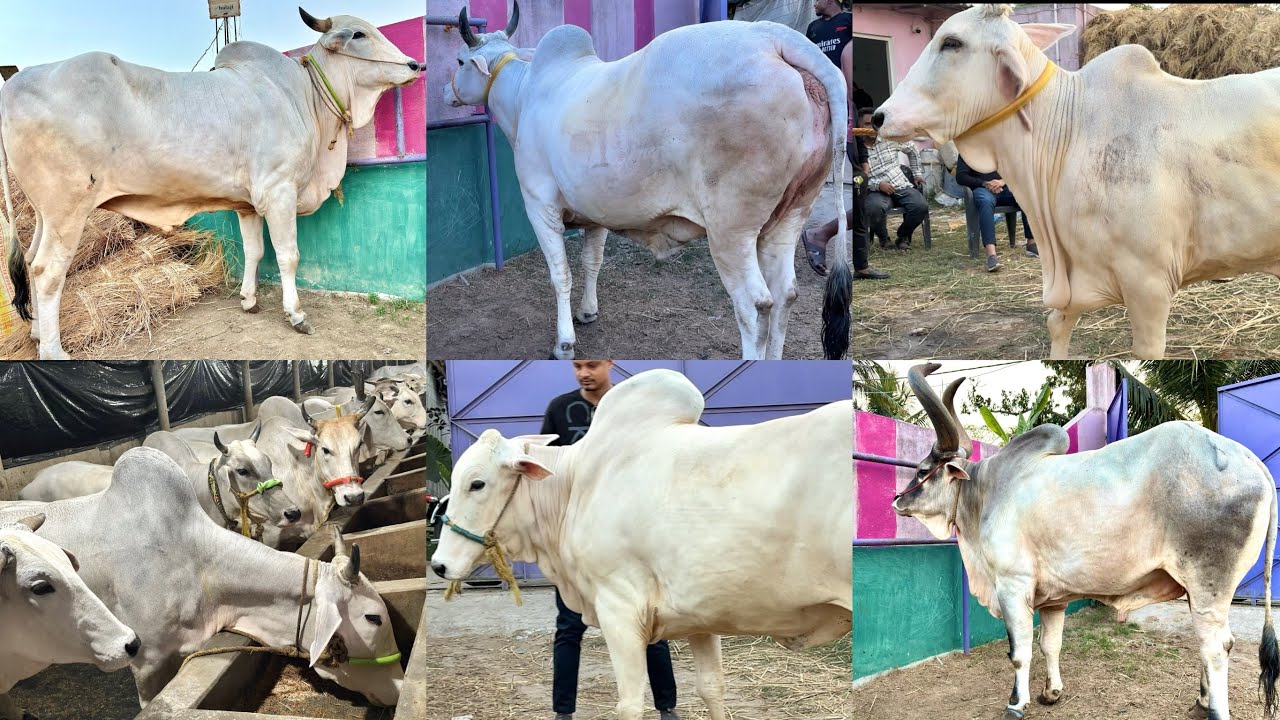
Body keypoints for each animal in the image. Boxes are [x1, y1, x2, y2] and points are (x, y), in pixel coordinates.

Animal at [0, 9, 423, 359]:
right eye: (358, 34)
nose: (414, 64)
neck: (303, 96)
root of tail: (13, 84)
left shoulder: (248, 204)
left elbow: (255, 251)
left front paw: (249, 300)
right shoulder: (279, 191)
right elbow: (288, 255)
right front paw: (296, 314)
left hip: (44, 213)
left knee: (31, 262)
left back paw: (37, 334)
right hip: (67, 209)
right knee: (47, 272)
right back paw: (54, 351)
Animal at [429, 369, 852, 720]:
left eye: (477, 483)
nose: (439, 565)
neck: (576, 486)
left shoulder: (618, 608)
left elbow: (630, 705)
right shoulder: (701, 614)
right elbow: (711, 688)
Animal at [444, 2, 851, 361]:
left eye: (461, 61)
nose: (446, 91)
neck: (523, 93)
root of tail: (772, 36)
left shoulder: (539, 203)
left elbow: (560, 275)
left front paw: (563, 343)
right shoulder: (595, 210)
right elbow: (592, 262)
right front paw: (587, 311)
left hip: (731, 229)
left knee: (755, 307)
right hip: (790, 216)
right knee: (785, 295)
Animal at [892, 362, 1280, 720]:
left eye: (922, 470)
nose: (897, 500)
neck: (984, 492)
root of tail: (1252, 462)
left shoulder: (1013, 586)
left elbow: (1019, 653)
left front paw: (1016, 703)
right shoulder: (1054, 600)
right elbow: (1050, 645)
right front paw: (1051, 693)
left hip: (1208, 585)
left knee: (1216, 646)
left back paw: (1214, 708)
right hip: (1195, 591)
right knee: (1204, 642)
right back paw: (1200, 701)